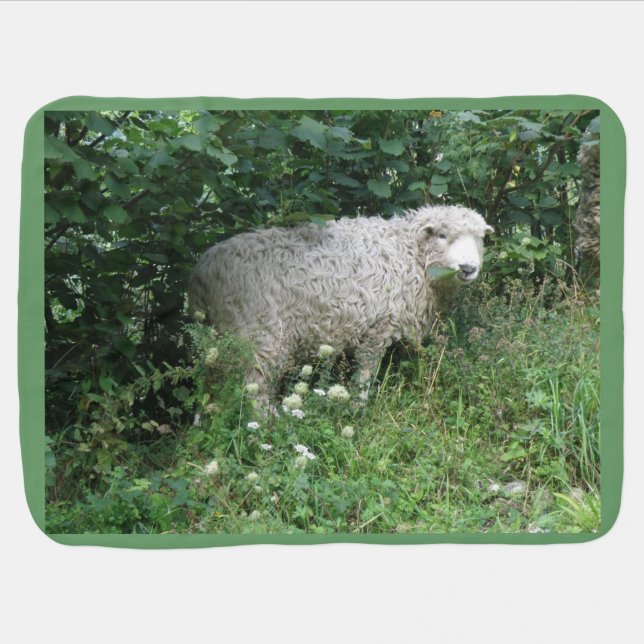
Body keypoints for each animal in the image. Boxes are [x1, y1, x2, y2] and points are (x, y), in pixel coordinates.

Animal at [188, 205, 493, 403]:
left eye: (480, 238)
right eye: (442, 235)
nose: (468, 268)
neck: (407, 252)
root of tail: (203, 272)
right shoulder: (377, 328)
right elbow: (365, 374)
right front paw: (359, 407)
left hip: (216, 338)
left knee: (208, 381)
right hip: (260, 334)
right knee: (255, 387)